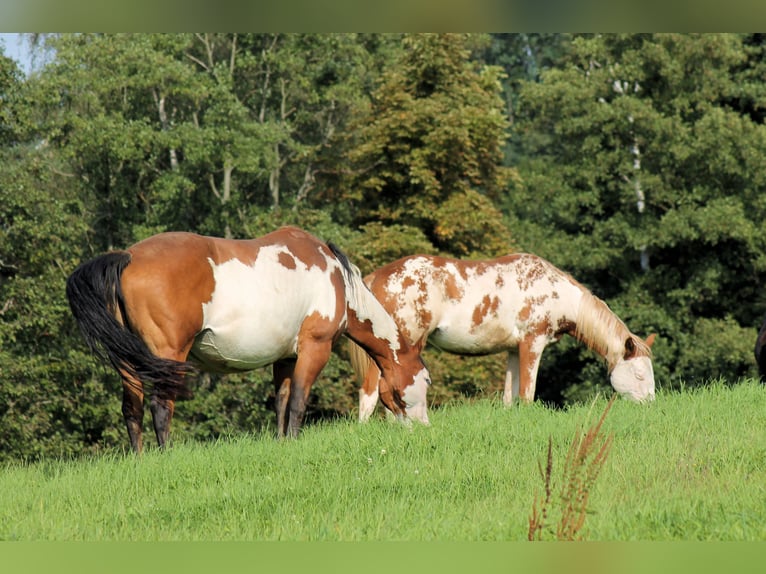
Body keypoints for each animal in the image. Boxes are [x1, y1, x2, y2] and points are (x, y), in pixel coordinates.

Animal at [66, 226, 430, 453]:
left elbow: (282, 401)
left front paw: (282, 443)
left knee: (132, 409)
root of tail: (128, 256)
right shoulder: (315, 348)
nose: (424, 428)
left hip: (130, 362)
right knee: (160, 406)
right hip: (168, 356)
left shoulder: (286, 358)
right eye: (426, 379)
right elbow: (299, 401)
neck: (335, 276)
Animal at [349, 253, 656, 423]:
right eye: (639, 375)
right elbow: (527, 393)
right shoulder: (532, 344)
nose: (651, 406)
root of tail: (376, 277)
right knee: (373, 391)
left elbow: (510, 395)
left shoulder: (513, 350)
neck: (556, 292)